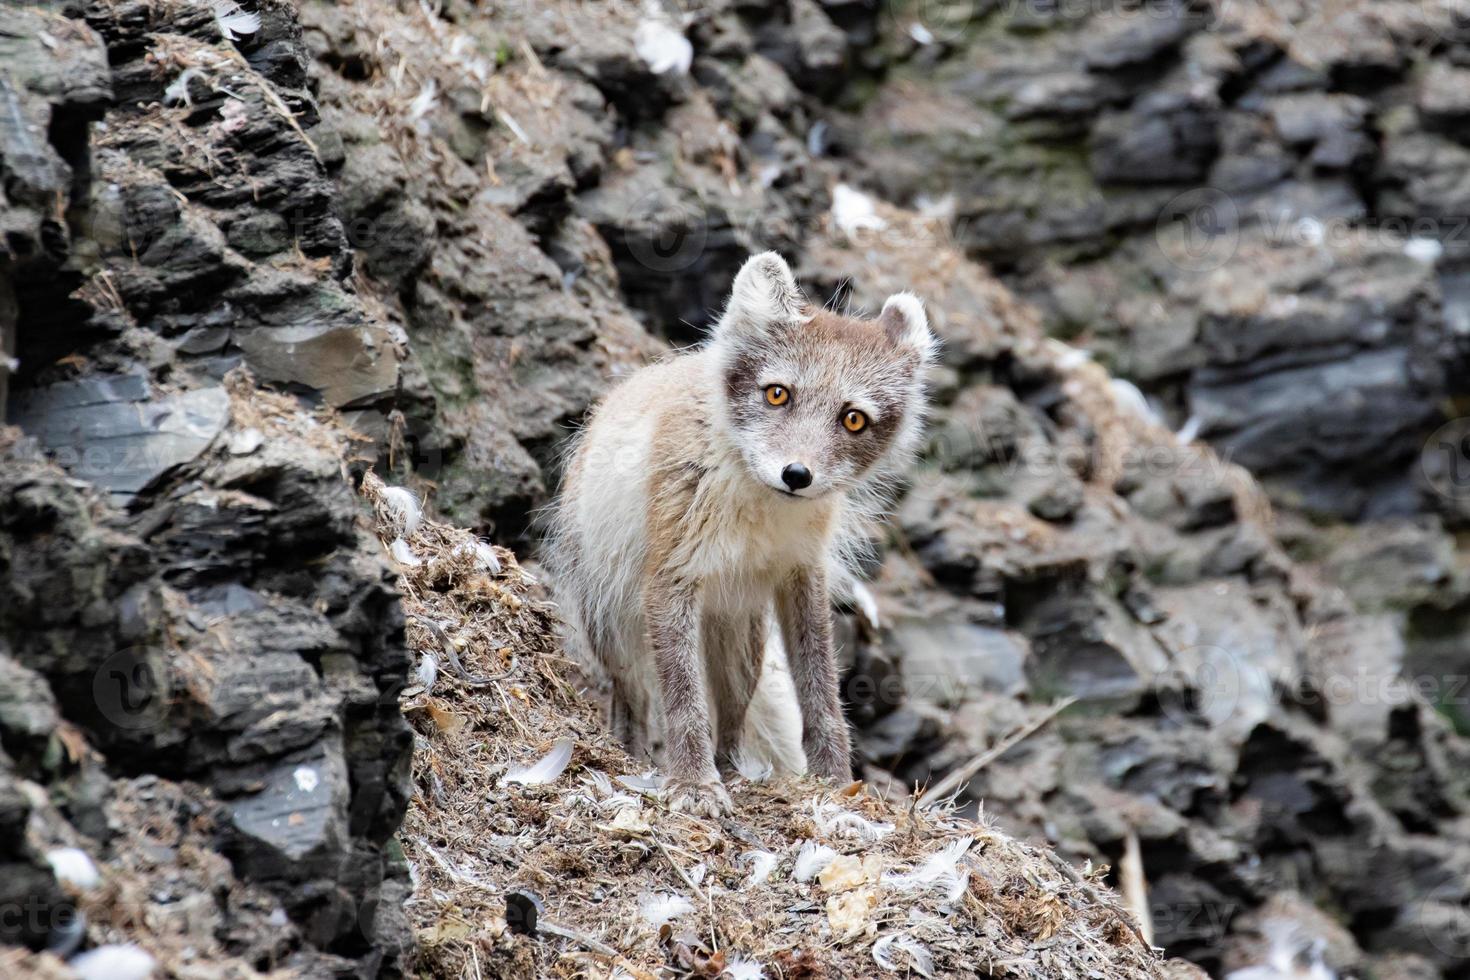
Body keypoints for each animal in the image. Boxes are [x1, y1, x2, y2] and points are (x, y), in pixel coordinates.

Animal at [546, 251, 934, 811]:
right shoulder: (670, 577)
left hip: (740, 637)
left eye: (854, 419)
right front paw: (692, 784)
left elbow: (821, 693)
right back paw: (635, 754)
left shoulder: (802, 573)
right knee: (633, 698)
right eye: (777, 394)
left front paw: (836, 782)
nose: (797, 475)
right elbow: (683, 700)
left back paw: (732, 767)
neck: (758, 510)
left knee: (733, 711)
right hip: (614, 627)